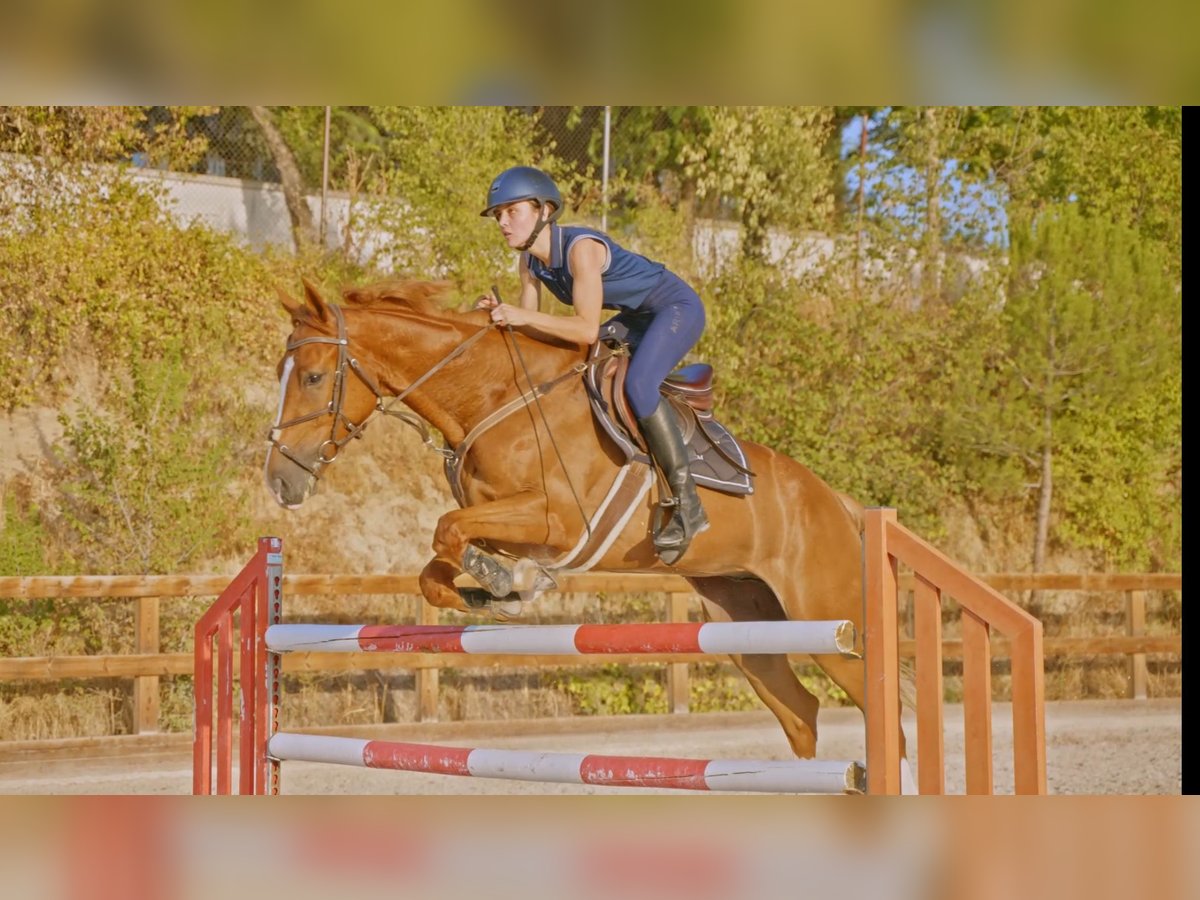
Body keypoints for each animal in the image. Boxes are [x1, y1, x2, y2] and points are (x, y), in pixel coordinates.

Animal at [260, 277, 902, 768]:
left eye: (313, 377)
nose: (279, 480)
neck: (494, 395)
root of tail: (839, 503)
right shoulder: (497, 516)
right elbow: (437, 566)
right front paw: (501, 589)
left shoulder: (560, 523)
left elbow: (447, 529)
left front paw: (511, 582)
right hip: (745, 620)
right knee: (801, 713)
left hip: (832, 622)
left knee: (883, 715)